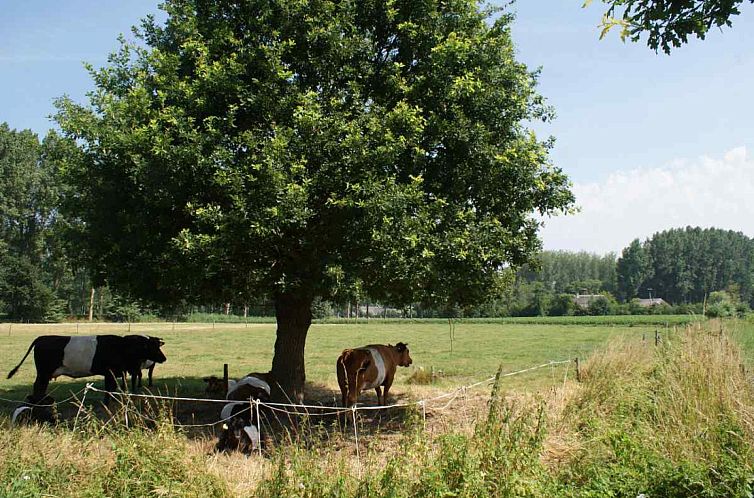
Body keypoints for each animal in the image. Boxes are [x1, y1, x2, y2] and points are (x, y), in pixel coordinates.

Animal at [6, 332, 166, 402]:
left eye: (158, 345)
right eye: (153, 346)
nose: (164, 358)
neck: (122, 347)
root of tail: (42, 338)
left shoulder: (117, 373)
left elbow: (112, 388)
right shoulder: (110, 372)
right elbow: (109, 389)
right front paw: (107, 402)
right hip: (44, 372)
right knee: (38, 385)